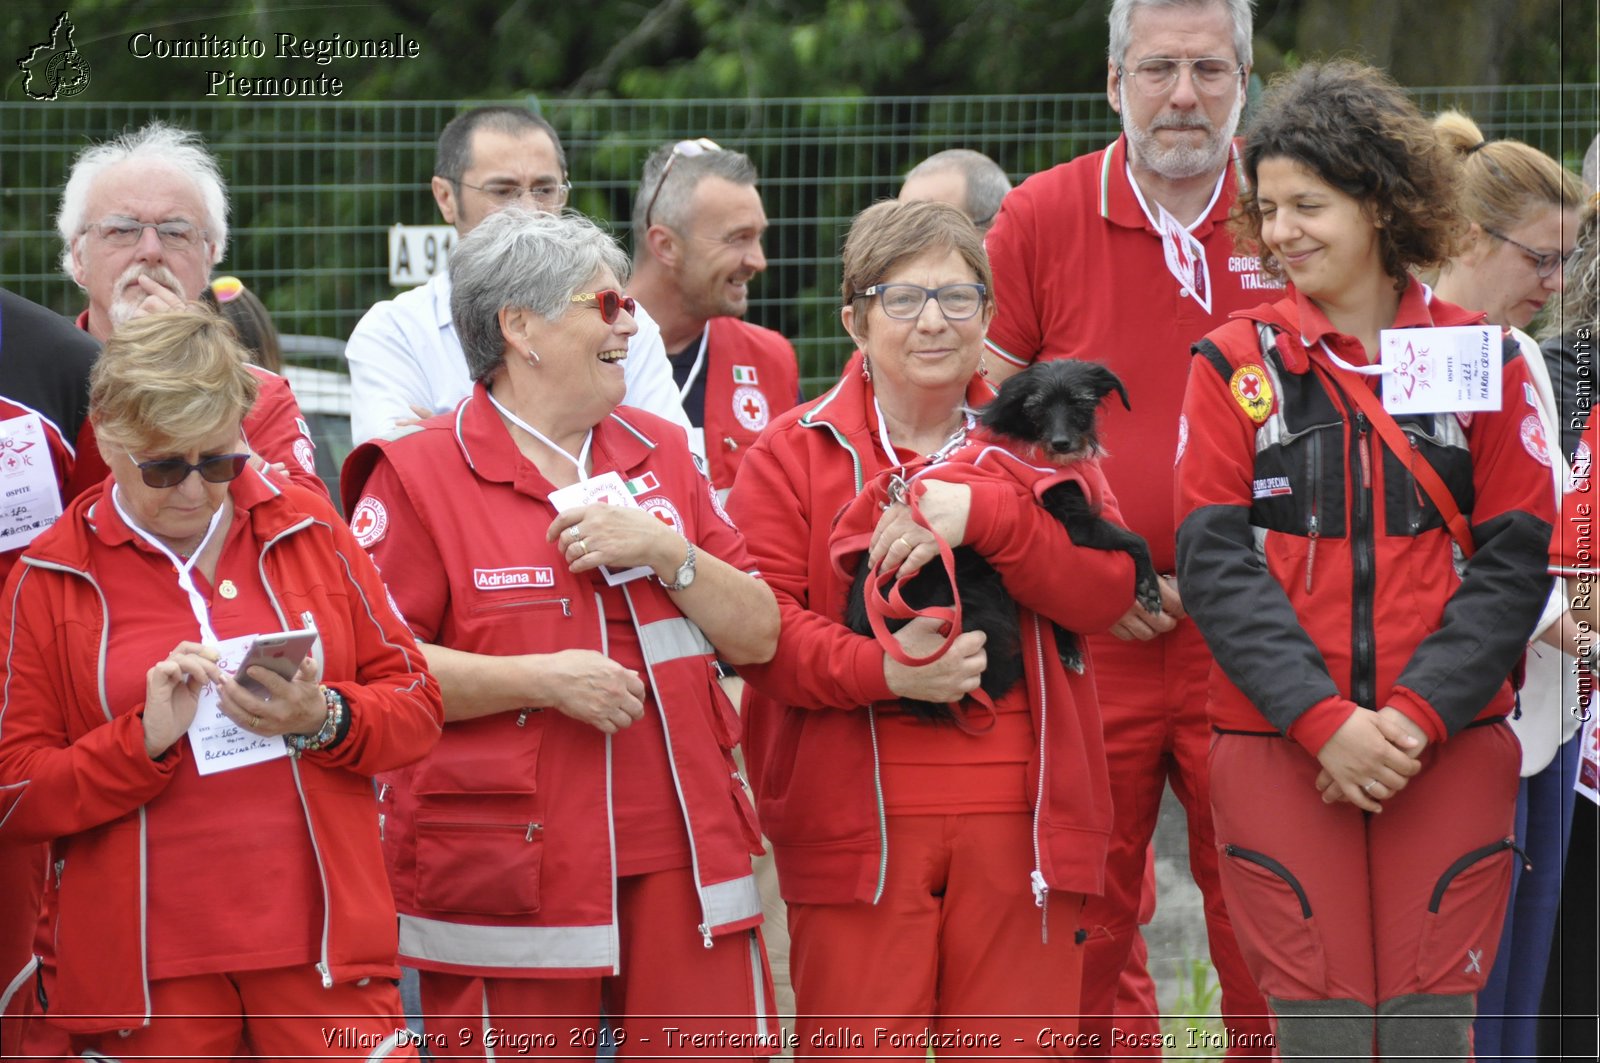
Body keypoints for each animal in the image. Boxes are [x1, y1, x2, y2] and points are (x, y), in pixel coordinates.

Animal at [851, 363, 1164, 723]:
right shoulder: (1075, 524)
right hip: (974, 603)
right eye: (1037, 407)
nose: (1061, 443)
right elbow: (1137, 540)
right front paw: (1149, 587)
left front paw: (1067, 646)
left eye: (1080, 403)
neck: (1029, 438)